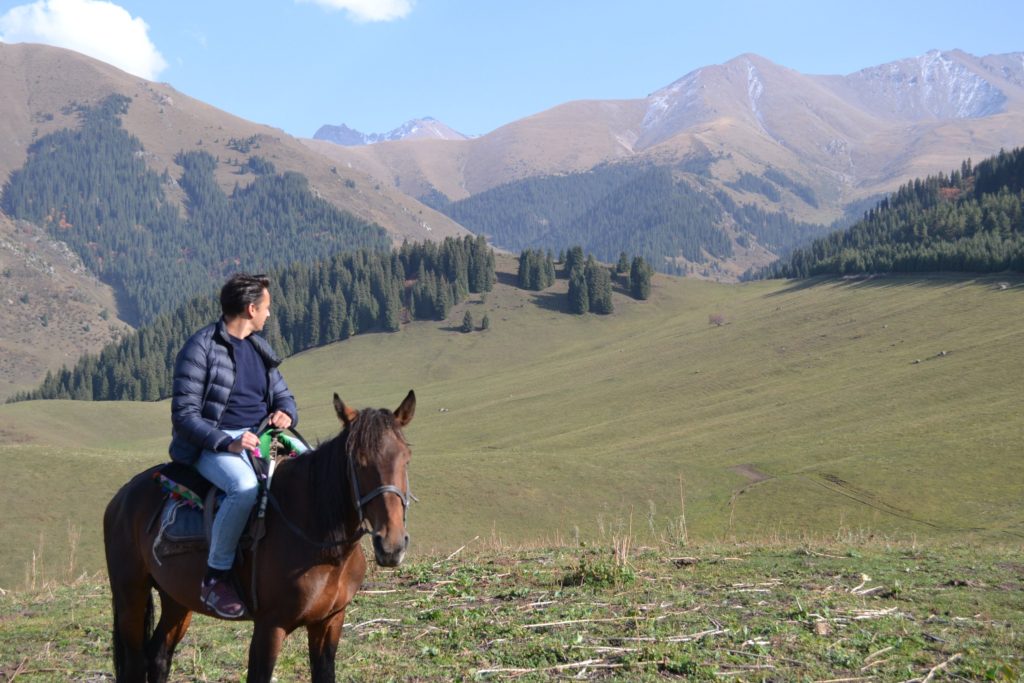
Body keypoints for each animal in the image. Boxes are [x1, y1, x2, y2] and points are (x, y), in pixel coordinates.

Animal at [102, 389, 415, 683]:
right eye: (358, 462)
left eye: (406, 459)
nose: (391, 545)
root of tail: (122, 497)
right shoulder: (269, 626)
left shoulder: (330, 622)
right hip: (130, 594)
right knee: (135, 664)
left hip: (177, 598)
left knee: (158, 655)